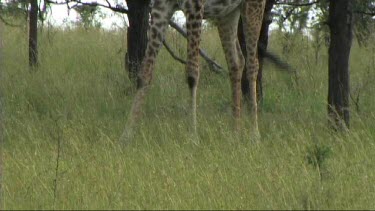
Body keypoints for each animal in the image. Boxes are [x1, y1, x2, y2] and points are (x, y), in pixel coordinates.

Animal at [122, 0, 266, 141]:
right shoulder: (161, 6)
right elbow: (145, 72)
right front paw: (127, 134)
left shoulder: (194, 7)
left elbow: (192, 73)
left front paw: (192, 136)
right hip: (227, 13)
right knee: (237, 61)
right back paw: (234, 133)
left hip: (252, 5)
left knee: (253, 64)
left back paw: (255, 134)